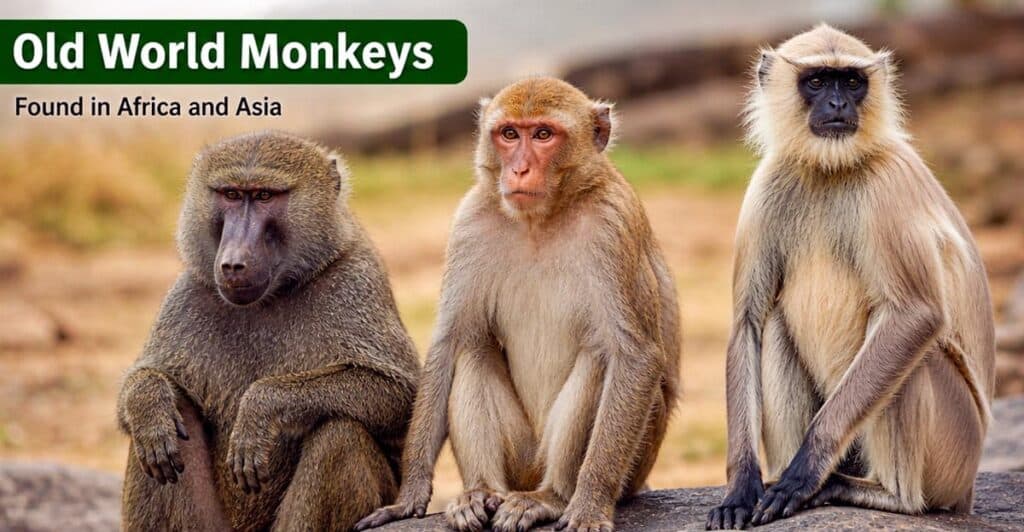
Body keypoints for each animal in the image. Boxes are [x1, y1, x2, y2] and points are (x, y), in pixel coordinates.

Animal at [117, 131, 420, 531]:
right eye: (231, 194)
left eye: (264, 196)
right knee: (168, 420)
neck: (275, 293)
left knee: (340, 433)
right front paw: (148, 407)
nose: (233, 264)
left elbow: (401, 394)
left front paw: (259, 410)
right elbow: (138, 390)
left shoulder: (357, 279)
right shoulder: (189, 292)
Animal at [354, 77, 681, 532]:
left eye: (543, 134)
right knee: (472, 350)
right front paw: (409, 496)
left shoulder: (612, 226)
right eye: (509, 134)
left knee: (599, 356)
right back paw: (481, 492)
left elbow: (635, 355)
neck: (539, 221)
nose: (519, 169)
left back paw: (552, 497)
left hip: (635, 458)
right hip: (520, 462)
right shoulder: (470, 222)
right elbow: (449, 344)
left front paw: (590, 503)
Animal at [706, 24, 996, 529]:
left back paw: (880, 494)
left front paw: (803, 473)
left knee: (916, 352)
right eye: (819, 81)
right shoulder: (767, 185)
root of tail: (968, 492)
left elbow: (917, 315)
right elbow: (748, 323)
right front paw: (741, 485)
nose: (839, 104)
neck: (830, 168)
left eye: (853, 82)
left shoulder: (888, 182)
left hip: (956, 449)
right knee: (775, 325)